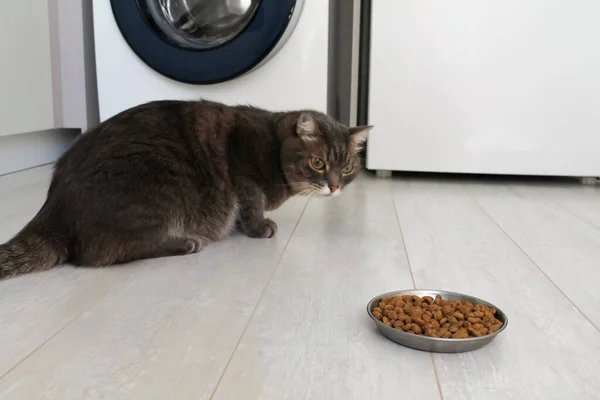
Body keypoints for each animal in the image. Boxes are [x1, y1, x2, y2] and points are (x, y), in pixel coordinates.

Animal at [0, 101, 372, 278]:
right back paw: (184, 242)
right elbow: (251, 202)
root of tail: (54, 207)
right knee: (99, 252)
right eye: (318, 163)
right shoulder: (242, 169)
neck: (272, 143)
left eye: (347, 168)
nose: (334, 186)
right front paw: (258, 227)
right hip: (161, 179)